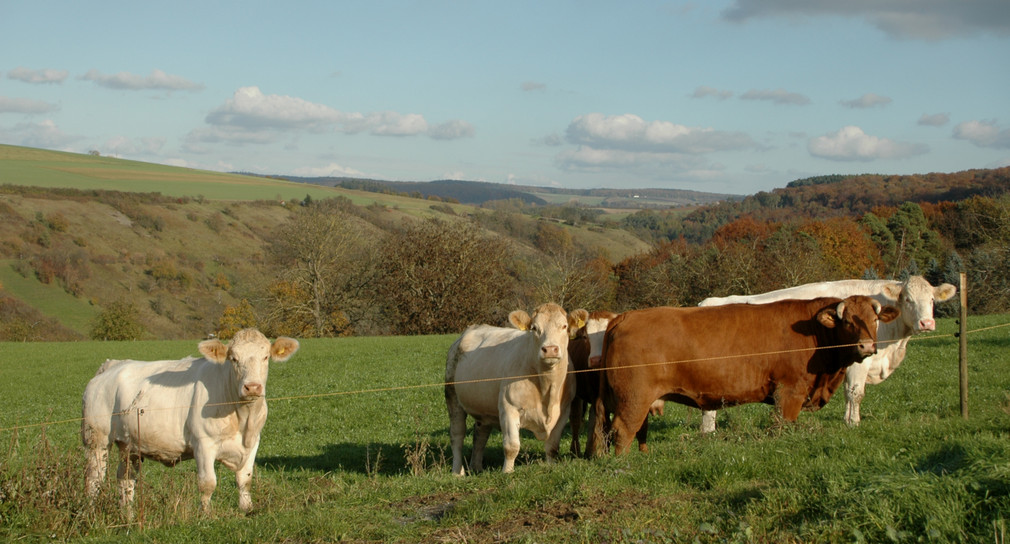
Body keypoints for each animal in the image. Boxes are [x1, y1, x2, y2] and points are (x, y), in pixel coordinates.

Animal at [81, 327, 298, 514]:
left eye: (266, 357)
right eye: (233, 359)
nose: (252, 387)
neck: (244, 419)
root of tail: (112, 365)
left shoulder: (253, 442)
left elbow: (245, 480)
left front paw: (247, 509)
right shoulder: (203, 443)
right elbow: (207, 483)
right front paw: (206, 515)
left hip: (129, 444)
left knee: (125, 479)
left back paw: (128, 515)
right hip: (96, 440)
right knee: (94, 479)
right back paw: (91, 513)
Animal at [446, 304, 589, 474]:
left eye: (564, 326)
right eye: (534, 328)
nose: (550, 349)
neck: (547, 389)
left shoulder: (563, 412)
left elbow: (552, 446)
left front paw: (550, 467)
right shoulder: (509, 408)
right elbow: (511, 447)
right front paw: (507, 473)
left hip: (484, 407)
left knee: (480, 434)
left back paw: (477, 467)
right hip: (452, 396)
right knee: (457, 435)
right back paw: (458, 472)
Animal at [589, 296, 904, 458]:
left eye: (874, 320)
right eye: (848, 321)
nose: (867, 347)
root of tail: (625, 316)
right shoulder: (789, 391)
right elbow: (781, 426)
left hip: (634, 399)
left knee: (631, 429)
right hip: (633, 397)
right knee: (622, 430)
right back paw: (625, 464)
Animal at [698, 276, 957, 429]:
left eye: (932, 299)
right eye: (908, 299)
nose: (926, 323)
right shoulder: (858, 362)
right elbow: (855, 393)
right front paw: (852, 423)